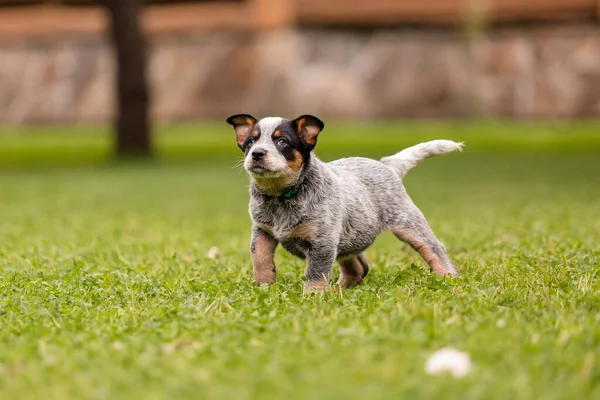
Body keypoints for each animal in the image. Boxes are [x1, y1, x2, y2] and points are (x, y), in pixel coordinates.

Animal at [226, 114, 464, 292]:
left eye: (282, 141)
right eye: (250, 142)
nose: (257, 153)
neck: (280, 196)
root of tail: (386, 164)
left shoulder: (322, 242)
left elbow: (315, 274)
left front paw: (312, 299)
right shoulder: (262, 231)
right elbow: (259, 259)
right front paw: (264, 288)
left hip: (407, 223)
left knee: (434, 248)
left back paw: (448, 278)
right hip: (348, 238)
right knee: (359, 268)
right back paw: (339, 290)